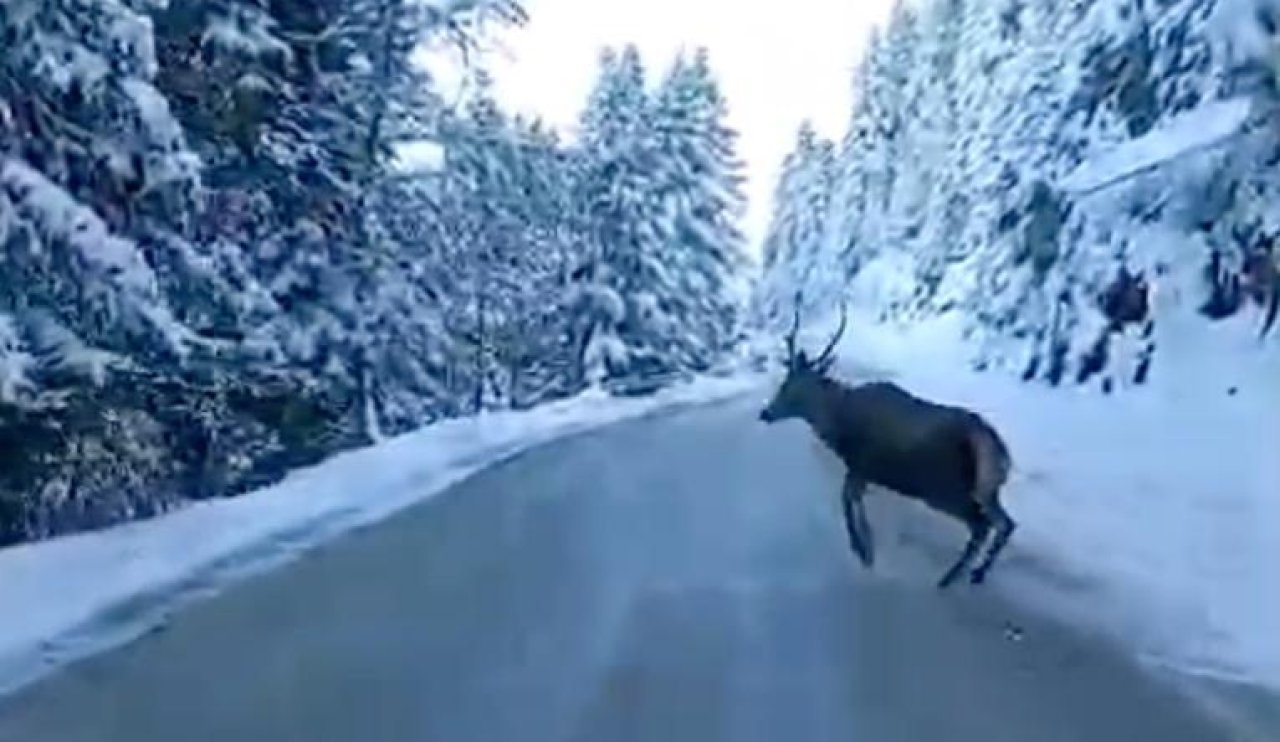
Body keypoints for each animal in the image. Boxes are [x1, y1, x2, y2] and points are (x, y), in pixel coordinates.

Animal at [757, 304, 1018, 588]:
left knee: (982, 525)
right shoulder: (865, 471)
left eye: (796, 389)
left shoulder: (861, 464)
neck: (840, 424)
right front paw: (866, 547)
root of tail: (1000, 453)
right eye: (784, 383)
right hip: (986, 491)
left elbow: (847, 501)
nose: (765, 412)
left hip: (944, 488)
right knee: (1005, 523)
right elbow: (853, 501)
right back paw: (976, 574)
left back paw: (949, 578)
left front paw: (864, 550)